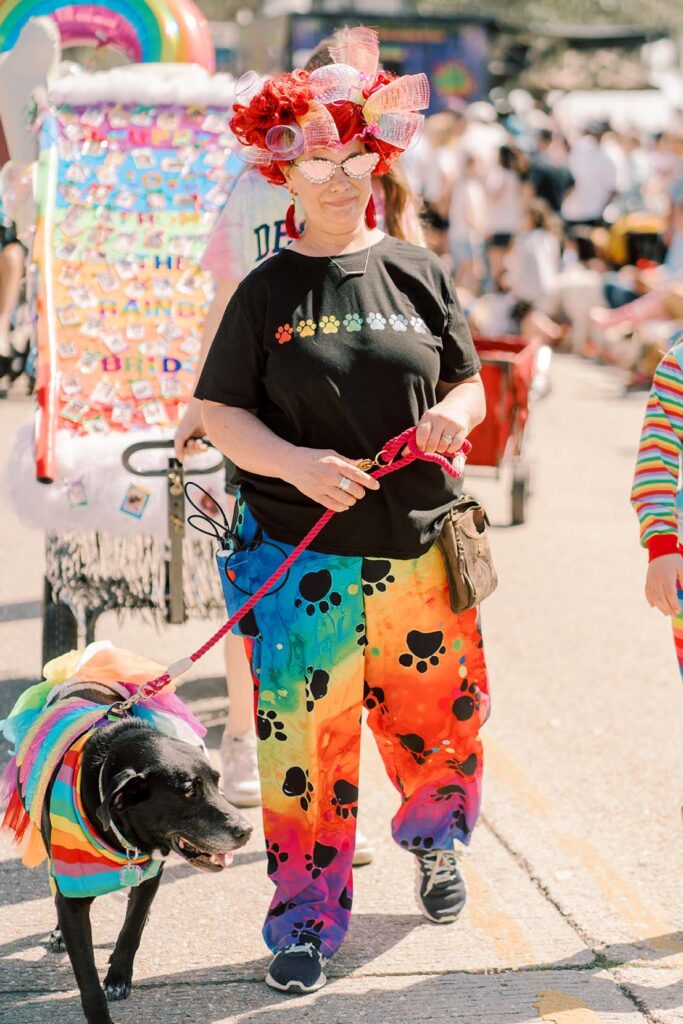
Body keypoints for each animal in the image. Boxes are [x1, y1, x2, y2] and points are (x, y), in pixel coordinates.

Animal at [41, 679, 252, 1024]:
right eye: (189, 791)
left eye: (217, 781)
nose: (246, 830)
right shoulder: (71, 889)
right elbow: (86, 973)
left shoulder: (152, 873)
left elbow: (132, 926)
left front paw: (117, 978)